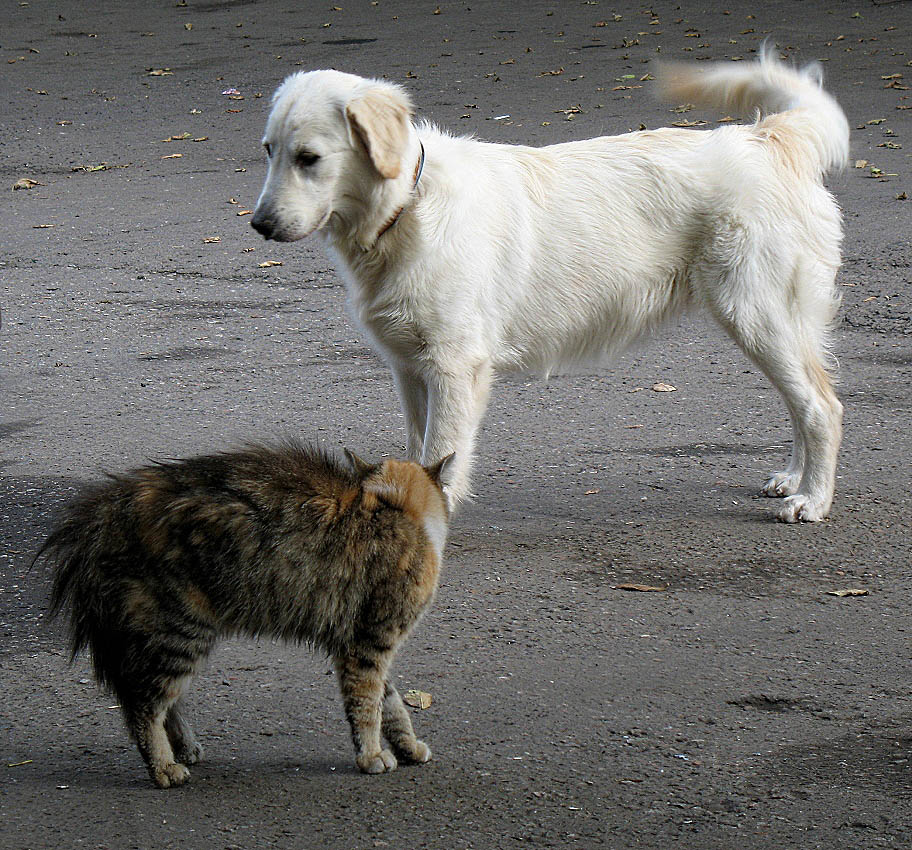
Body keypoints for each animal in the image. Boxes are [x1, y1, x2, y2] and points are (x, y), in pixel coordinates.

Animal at [251, 53, 848, 520]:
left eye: (309, 158)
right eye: (268, 150)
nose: (258, 224)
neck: (406, 209)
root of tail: (766, 137)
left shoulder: (453, 366)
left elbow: (442, 454)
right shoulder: (409, 367)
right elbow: (420, 449)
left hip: (756, 315)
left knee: (822, 407)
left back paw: (812, 500)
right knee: (805, 402)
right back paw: (793, 479)